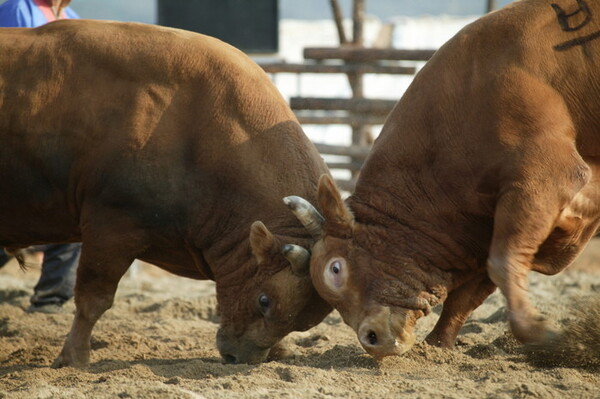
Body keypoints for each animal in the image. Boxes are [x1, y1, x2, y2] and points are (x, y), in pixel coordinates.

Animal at [0, 20, 332, 368]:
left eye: (301, 322)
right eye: (264, 300)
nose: (238, 356)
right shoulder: (110, 228)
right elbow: (94, 300)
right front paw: (74, 356)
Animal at [284, 0, 600, 360]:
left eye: (336, 269)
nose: (371, 338)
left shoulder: (545, 177)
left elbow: (503, 261)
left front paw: (537, 331)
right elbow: (469, 293)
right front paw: (437, 344)